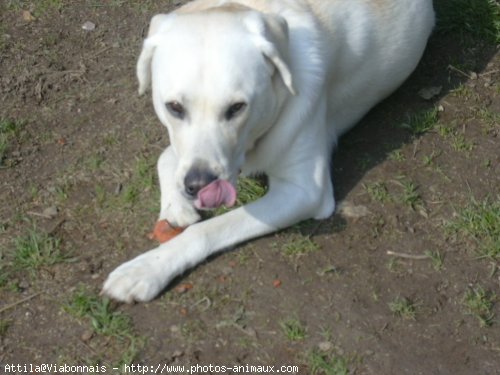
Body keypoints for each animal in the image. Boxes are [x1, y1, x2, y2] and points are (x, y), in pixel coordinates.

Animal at [103, 0, 436, 302]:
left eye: (237, 108)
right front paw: (176, 208)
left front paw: (146, 269)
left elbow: (207, 229)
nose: (199, 185)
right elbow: (166, 157)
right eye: (174, 107)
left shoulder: (304, 192)